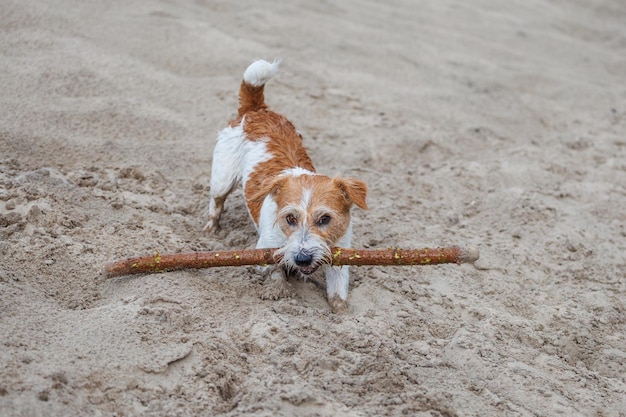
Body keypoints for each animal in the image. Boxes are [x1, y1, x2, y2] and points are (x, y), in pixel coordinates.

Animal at [205, 59, 368, 312]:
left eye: (325, 219)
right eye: (290, 218)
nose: (302, 259)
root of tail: (256, 109)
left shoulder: (339, 254)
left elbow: (338, 292)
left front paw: (340, 312)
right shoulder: (265, 251)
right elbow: (275, 270)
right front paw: (277, 290)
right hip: (222, 178)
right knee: (216, 202)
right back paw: (211, 231)